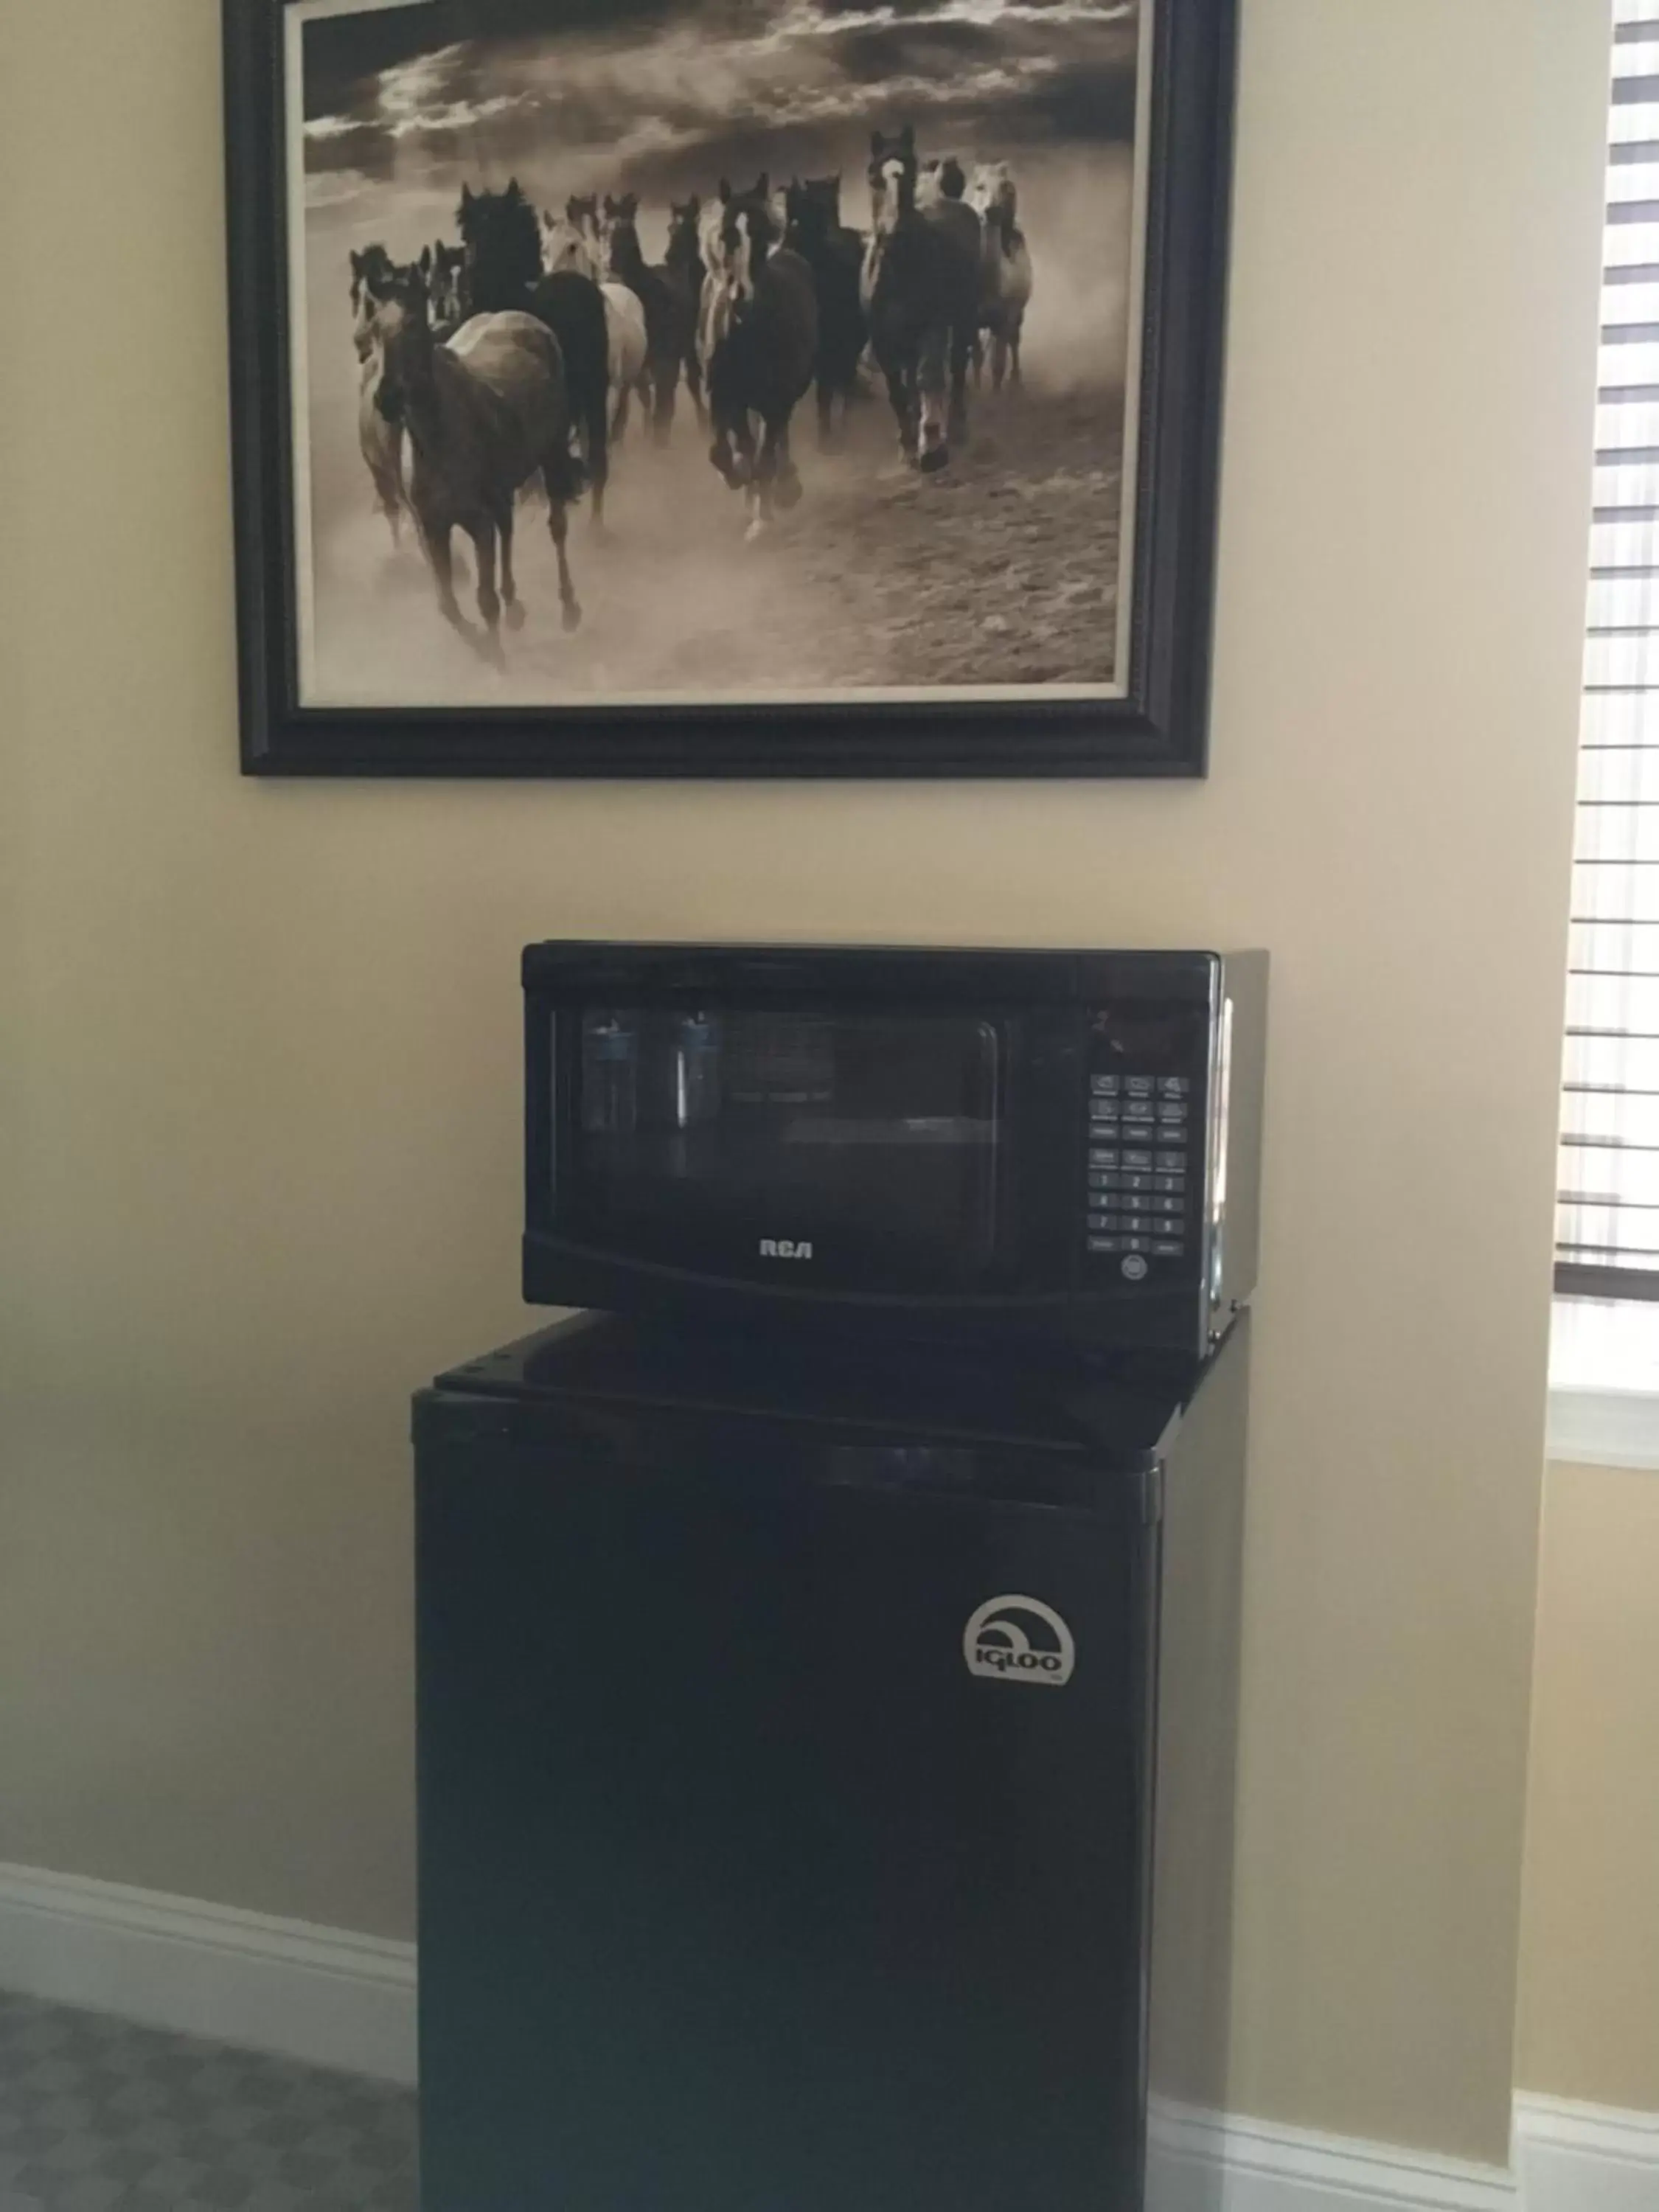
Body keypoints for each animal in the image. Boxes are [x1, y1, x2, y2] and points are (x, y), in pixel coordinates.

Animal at [369, 260, 593, 655]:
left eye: (412, 322)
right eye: (376, 328)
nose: (386, 398)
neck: (437, 440)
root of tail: (527, 319)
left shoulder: (476, 522)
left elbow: (484, 599)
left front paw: (498, 655)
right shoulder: (433, 528)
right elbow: (447, 603)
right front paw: (485, 646)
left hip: (551, 457)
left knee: (556, 528)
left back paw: (568, 607)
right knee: (508, 525)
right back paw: (516, 606)